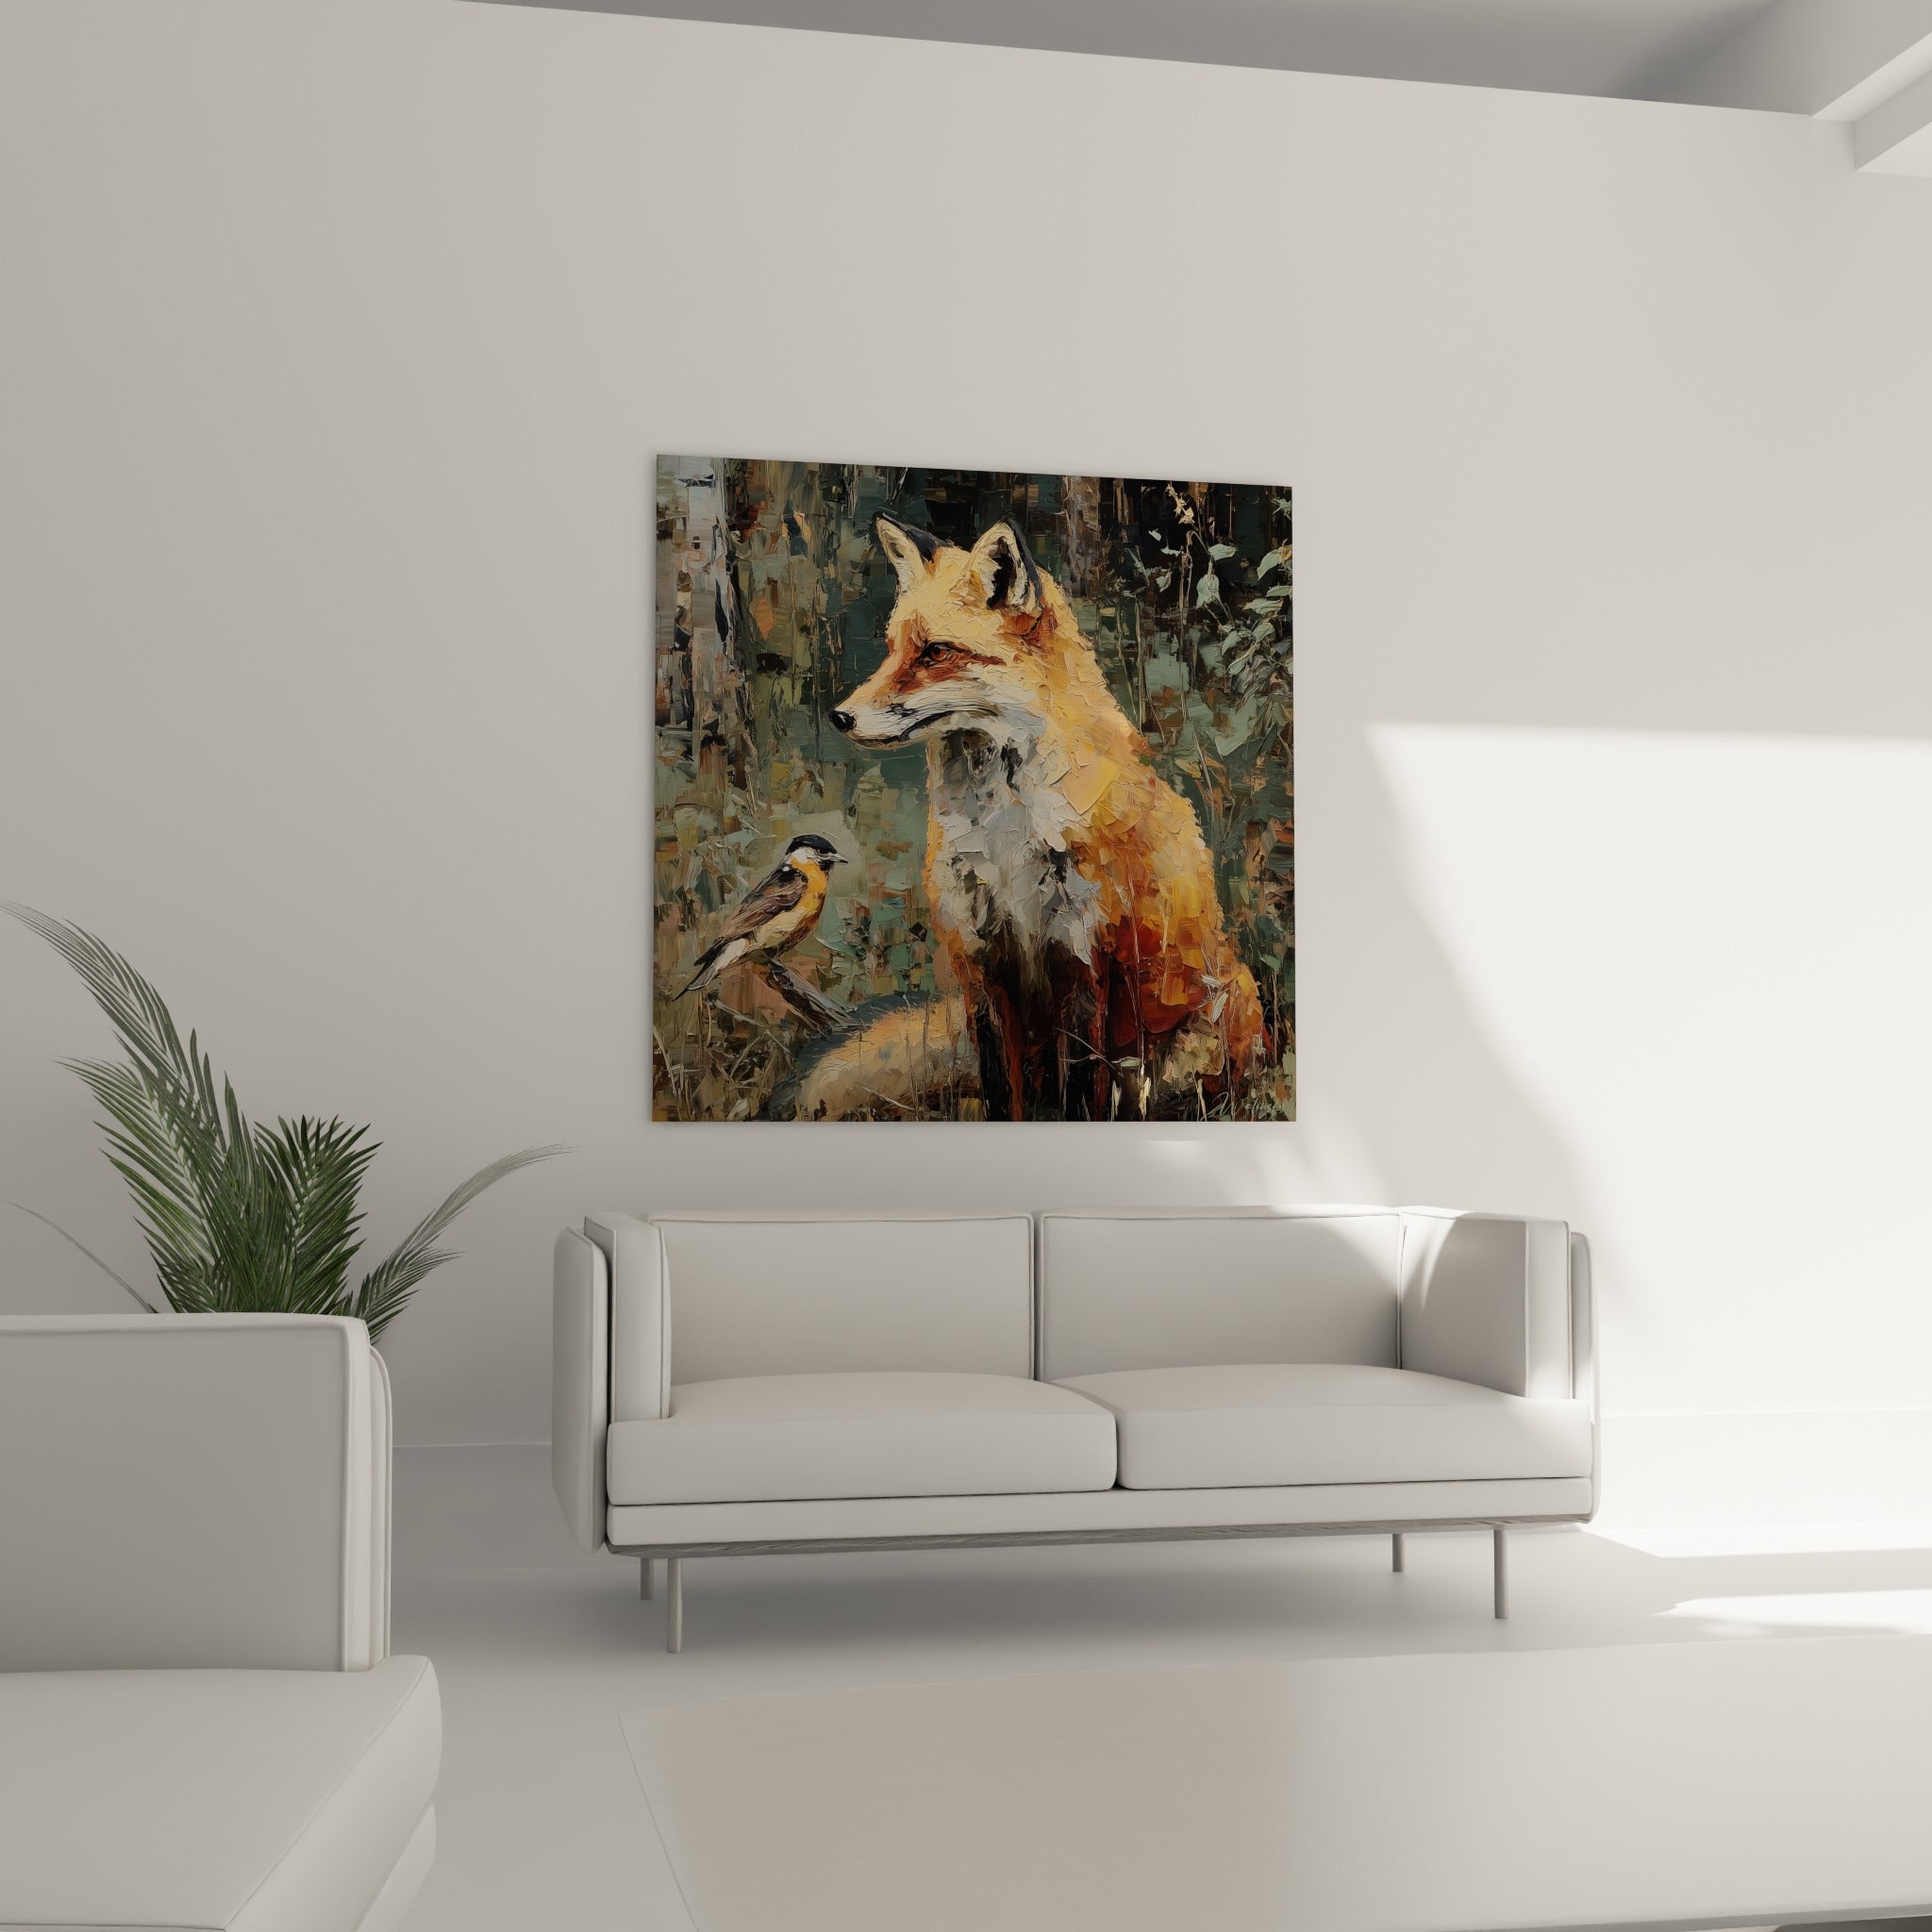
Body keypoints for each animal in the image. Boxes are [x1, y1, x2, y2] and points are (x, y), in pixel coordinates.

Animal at [808, 511, 1266, 1121]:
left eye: (936, 653)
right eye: (891, 647)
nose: (840, 716)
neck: (1002, 834)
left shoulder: (1081, 957)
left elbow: (1083, 1091)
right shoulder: (982, 962)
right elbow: (1000, 1089)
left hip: (1204, 1030)